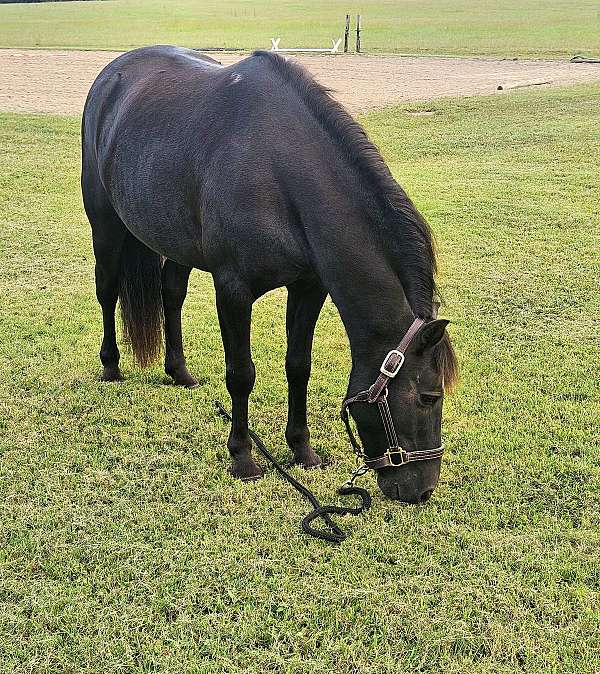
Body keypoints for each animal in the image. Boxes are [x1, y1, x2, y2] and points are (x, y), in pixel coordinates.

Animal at [81, 46, 457, 502]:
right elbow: (241, 374)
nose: (422, 491)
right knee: (107, 291)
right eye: (428, 397)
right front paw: (243, 457)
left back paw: (180, 373)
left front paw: (302, 449)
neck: (279, 171)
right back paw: (111, 367)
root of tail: (112, 74)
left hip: (175, 242)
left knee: (171, 295)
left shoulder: (309, 287)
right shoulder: (233, 291)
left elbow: (298, 365)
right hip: (104, 223)